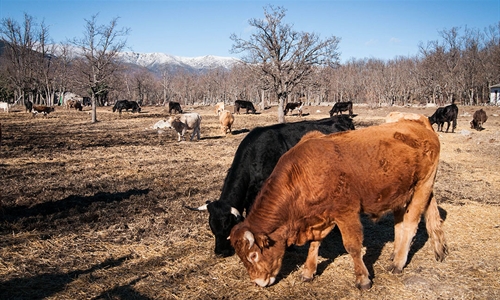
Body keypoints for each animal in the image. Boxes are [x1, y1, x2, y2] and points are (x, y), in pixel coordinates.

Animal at [229, 114, 448, 288]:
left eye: (253, 255)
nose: (259, 282)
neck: (303, 172)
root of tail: (418, 123)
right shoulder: (320, 216)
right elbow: (315, 243)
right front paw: (308, 272)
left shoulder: (346, 213)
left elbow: (352, 246)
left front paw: (362, 279)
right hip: (403, 192)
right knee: (404, 221)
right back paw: (409, 252)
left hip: (423, 186)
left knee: (410, 224)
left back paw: (398, 263)